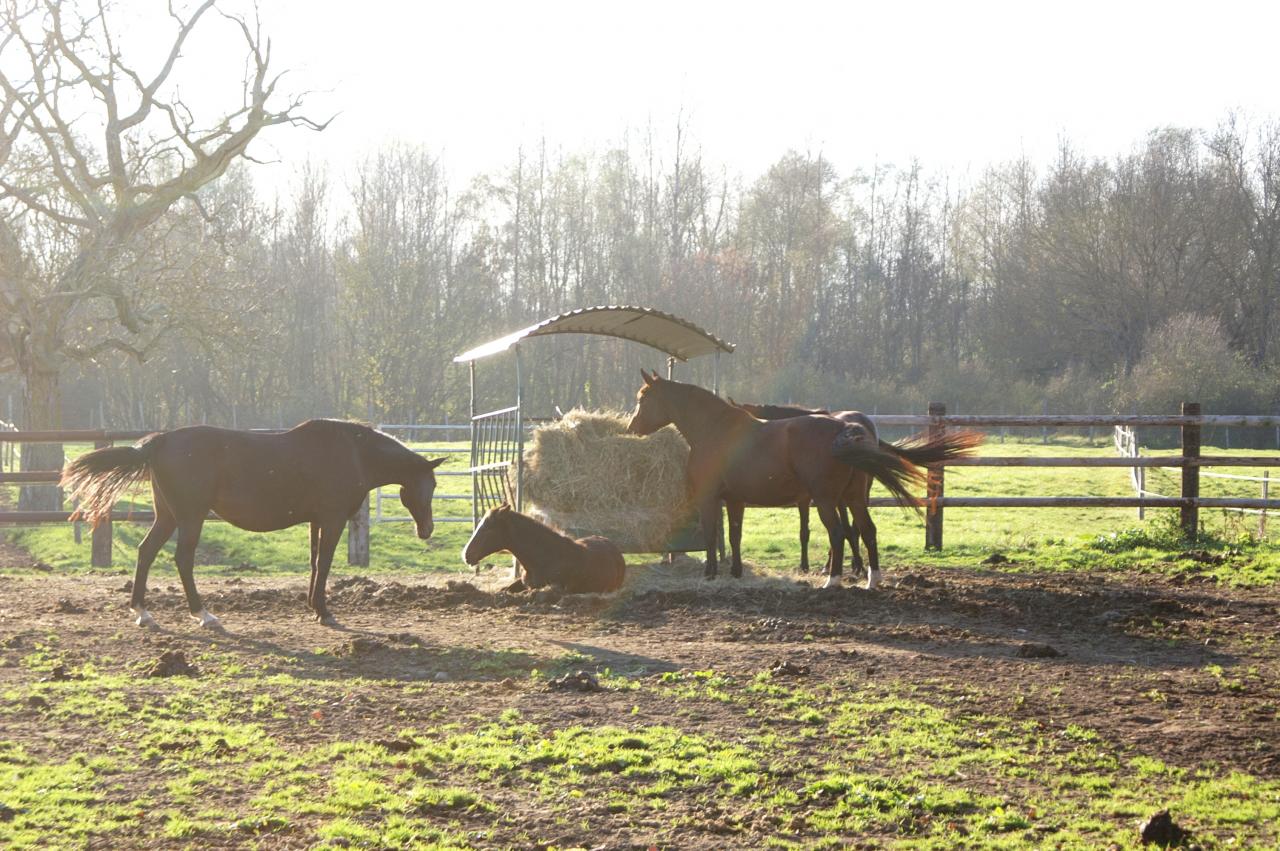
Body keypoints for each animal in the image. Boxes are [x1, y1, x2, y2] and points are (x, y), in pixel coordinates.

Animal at [61, 419, 445, 627]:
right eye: (431, 485)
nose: (426, 530)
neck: (354, 453)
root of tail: (160, 441)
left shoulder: (317, 521)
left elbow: (313, 563)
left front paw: (313, 607)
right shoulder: (334, 520)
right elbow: (324, 564)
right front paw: (324, 612)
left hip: (167, 516)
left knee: (146, 552)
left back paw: (143, 612)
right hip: (190, 517)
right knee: (182, 559)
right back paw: (204, 615)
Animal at [627, 371, 977, 583]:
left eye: (643, 398)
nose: (632, 427)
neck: (717, 430)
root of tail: (845, 429)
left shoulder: (710, 497)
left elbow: (713, 535)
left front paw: (711, 573)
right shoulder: (736, 500)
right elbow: (735, 536)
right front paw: (736, 571)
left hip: (826, 500)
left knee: (839, 533)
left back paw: (832, 579)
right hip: (852, 498)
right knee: (865, 530)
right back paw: (870, 579)